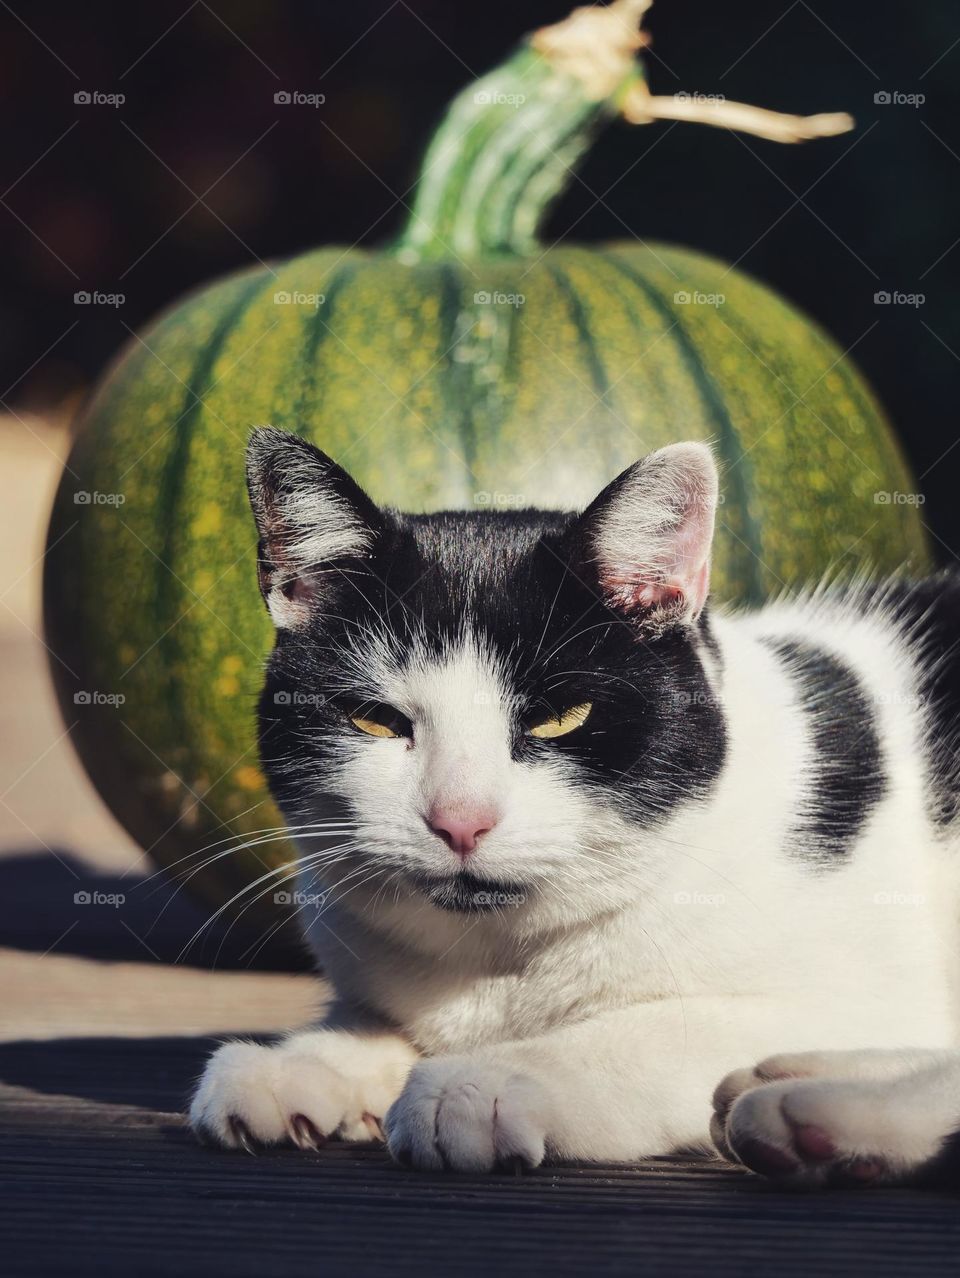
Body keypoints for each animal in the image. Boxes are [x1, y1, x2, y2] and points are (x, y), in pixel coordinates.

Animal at [189, 426, 960, 1185]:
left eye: (559, 718)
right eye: (376, 721)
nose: (459, 820)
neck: (497, 963)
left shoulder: (858, 994)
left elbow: (646, 1033)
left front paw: (485, 1080)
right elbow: (376, 1022)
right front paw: (301, 1064)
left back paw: (815, 1117)